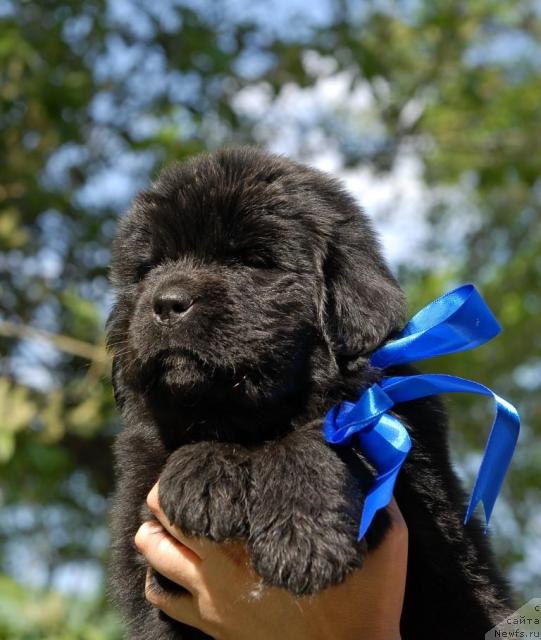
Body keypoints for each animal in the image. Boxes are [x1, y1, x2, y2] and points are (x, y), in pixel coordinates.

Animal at [107, 146, 512, 640]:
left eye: (252, 260)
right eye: (149, 268)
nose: (167, 302)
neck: (256, 421)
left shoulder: (402, 453)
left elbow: (316, 439)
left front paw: (303, 541)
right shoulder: (143, 522)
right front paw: (204, 474)